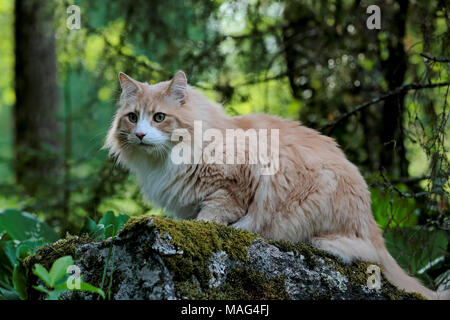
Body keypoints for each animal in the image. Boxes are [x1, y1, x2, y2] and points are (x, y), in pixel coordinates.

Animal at [104, 70, 446, 300]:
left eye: (159, 117)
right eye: (133, 118)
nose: (140, 135)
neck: (166, 160)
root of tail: (371, 222)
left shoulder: (237, 181)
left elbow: (215, 212)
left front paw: (207, 228)